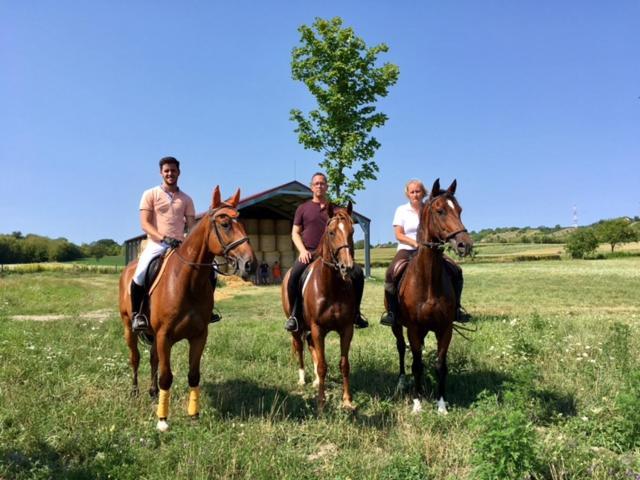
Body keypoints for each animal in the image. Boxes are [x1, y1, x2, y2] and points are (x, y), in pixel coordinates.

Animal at [119, 187, 254, 432]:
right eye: (225, 224)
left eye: (241, 222)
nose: (249, 264)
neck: (187, 281)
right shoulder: (164, 336)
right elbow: (166, 376)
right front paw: (162, 420)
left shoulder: (199, 336)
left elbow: (193, 375)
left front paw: (194, 414)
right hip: (129, 327)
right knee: (135, 358)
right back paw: (135, 392)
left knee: (153, 359)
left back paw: (153, 393)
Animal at [282, 202, 360, 408]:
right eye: (331, 232)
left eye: (352, 231)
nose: (347, 267)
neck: (331, 287)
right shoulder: (318, 328)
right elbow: (323, 366)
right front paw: (321, 402)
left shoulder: (346, 329)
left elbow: (344, 365)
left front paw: (347, 400)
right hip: (297, 327)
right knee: (300, 347)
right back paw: (303, 379)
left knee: (310, 346)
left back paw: (316, 380)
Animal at [388, 178, 472, 414]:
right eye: (440, 210)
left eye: (459, 210)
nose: (465, 244)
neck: (428, 282)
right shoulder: (413, 329)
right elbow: (416, 364)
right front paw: (417, 404)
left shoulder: (445, 328)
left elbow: (441, 365)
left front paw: (441, 405)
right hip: (397, 326)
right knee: (401, 349)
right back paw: (401, 382)